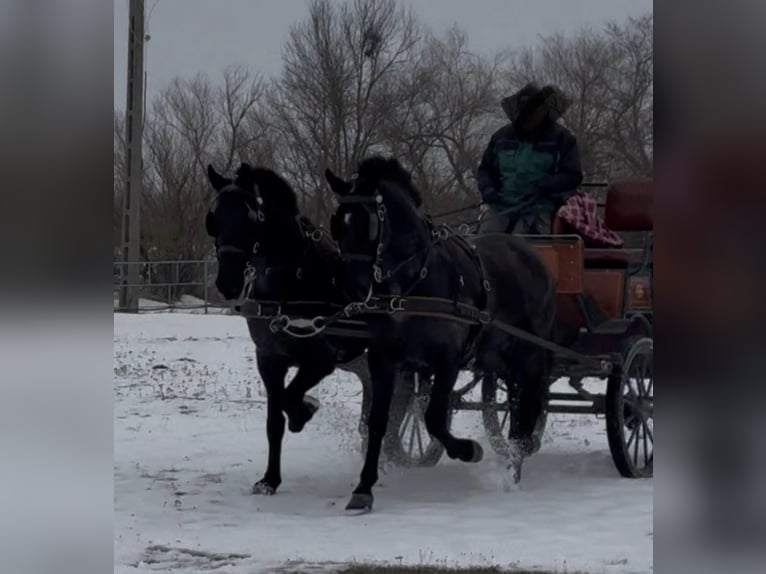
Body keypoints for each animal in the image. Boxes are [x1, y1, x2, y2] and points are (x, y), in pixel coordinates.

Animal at [205, 162, 369, 495]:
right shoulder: (269, 361)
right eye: (213, 218)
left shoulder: (320, 361)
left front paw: (305, 410)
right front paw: (269, 480)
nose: (227, 283)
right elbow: (274, 421)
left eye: (250, 217)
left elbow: (288, 399)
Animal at [325, 156, 557, 511]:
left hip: (530, 354)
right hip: (499, 358)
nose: (353, 289)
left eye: (369, 224)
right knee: (516, 405)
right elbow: (379, 420)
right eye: (338, 225)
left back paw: (513, 470)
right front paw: (363, 488)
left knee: (527, 408)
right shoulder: (383, 360)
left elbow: (434, 416)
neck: (412, 283)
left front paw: (469, 450)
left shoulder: (447, 360)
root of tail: (531, 254)